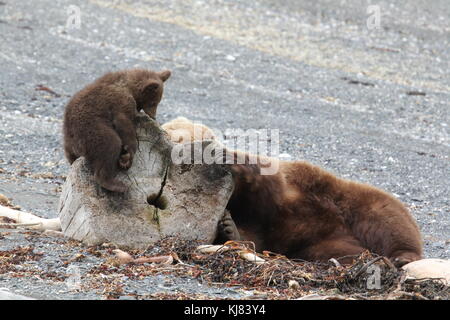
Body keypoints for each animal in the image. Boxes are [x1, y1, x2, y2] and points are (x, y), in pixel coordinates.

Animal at [163, 118, 424, 268]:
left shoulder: (273, 189)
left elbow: (257, 182)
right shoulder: (262, 222)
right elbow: (251, 233)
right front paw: (229, 227)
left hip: (353, 201)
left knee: (390, 221)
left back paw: (402, 257)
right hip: (320, 244)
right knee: (340, 251)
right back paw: (368, 259)